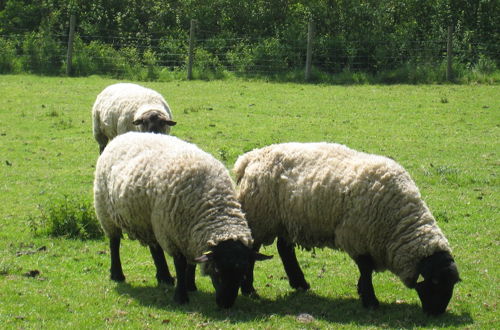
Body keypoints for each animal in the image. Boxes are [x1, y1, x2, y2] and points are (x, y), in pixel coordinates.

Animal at [95, 131, 272, 306]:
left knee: (154, 247)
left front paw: (190, 285)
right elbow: (180, 265)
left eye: (243, 272)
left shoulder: (189, 234)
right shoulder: (173, 234)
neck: (213, 201)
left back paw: (164, 277)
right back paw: (117, 274)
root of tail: (123, 135)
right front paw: (181, 296)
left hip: (151, 220)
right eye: (217, 269)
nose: (225, 304)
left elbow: (191, 263)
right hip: (105, 211)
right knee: (114, 242)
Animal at [234, 142, 460, 314]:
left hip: (288, 219)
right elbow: (366, 268)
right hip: (261, 217)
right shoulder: (356, 236)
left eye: (452, 284)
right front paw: (370, 300)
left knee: (284, 248)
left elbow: (365, 270)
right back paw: (249, 289)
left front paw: (362, 291)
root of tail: (250, 157)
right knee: (252, 252)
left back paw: (299, 283)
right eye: (435, 282)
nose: (436, 313)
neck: (398, 221)